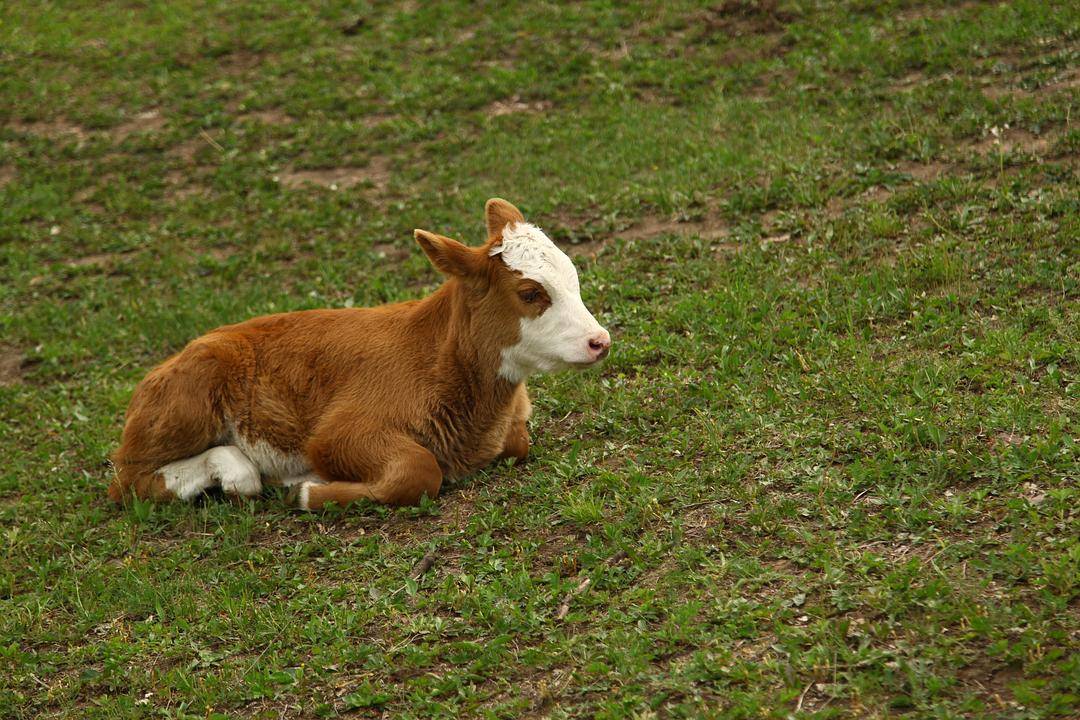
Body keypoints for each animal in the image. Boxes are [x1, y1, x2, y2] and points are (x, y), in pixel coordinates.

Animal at [110, 199, 617, 509]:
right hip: (187, 400)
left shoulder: (511, 426)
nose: (600, 341)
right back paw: (236, 471)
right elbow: (418, 470)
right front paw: (307, 490)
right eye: (530, 293)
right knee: (128, 479)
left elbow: (518, 442)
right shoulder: (339, 432)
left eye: (573, 275)